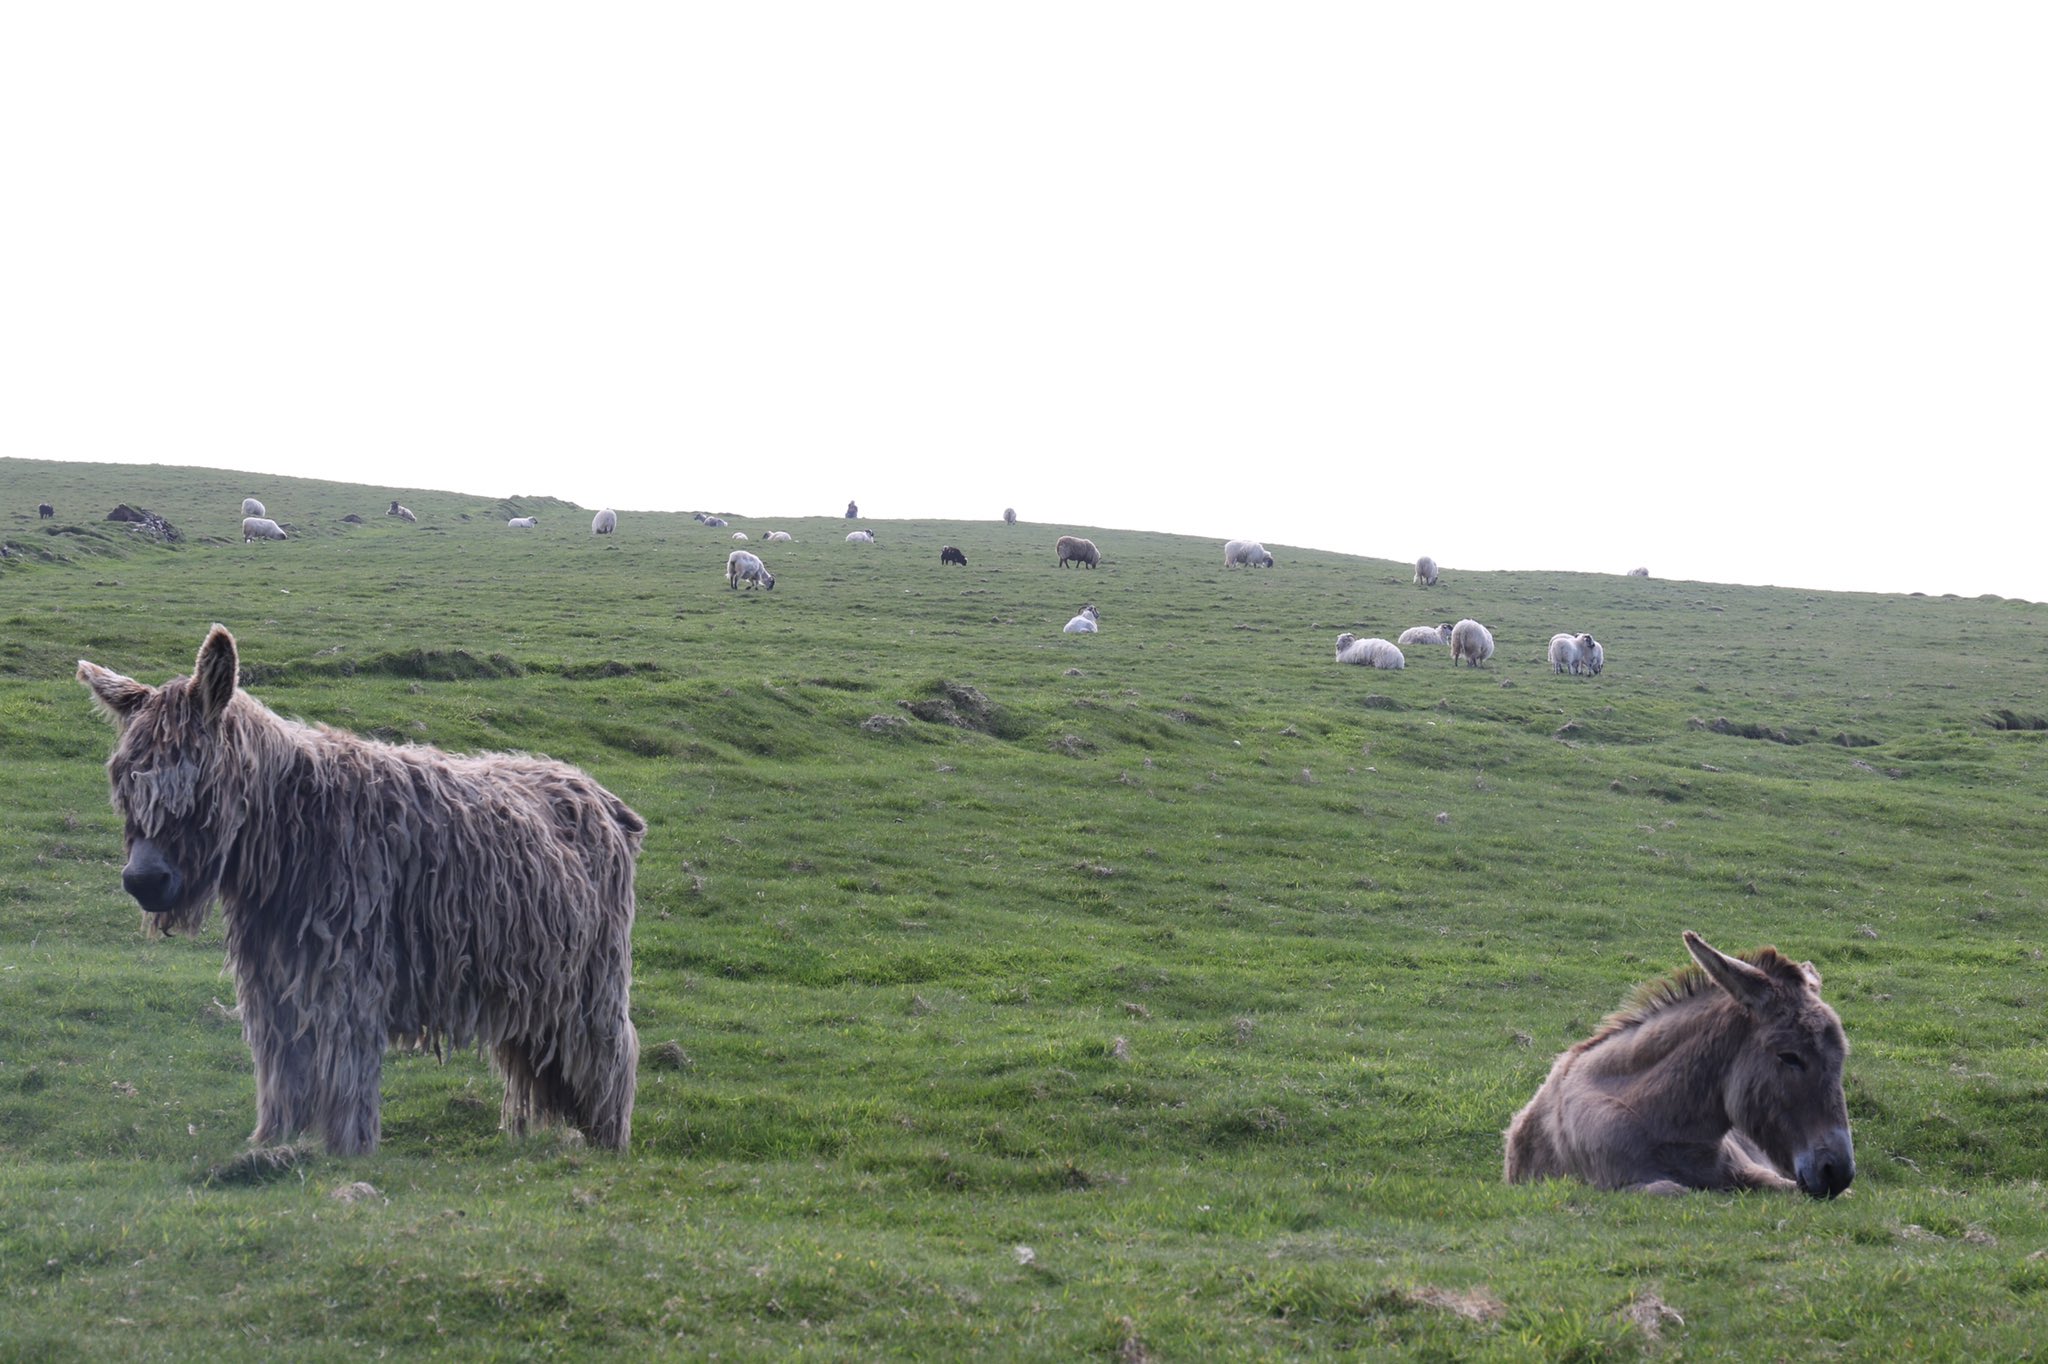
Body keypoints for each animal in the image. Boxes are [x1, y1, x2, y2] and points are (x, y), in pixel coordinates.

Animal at [77, 622, 638, 1146]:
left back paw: (608, 1141)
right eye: (124, 783)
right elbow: (282, 1070)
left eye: (197, 785)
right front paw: (273, 1143)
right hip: (534, 981)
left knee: (612, 1055)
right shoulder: (273, 980)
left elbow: (345, 1072)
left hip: (592, 982)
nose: (144, 880)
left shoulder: (348, 974)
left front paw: (347, 1150)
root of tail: (599, 795)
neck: (294, 829)